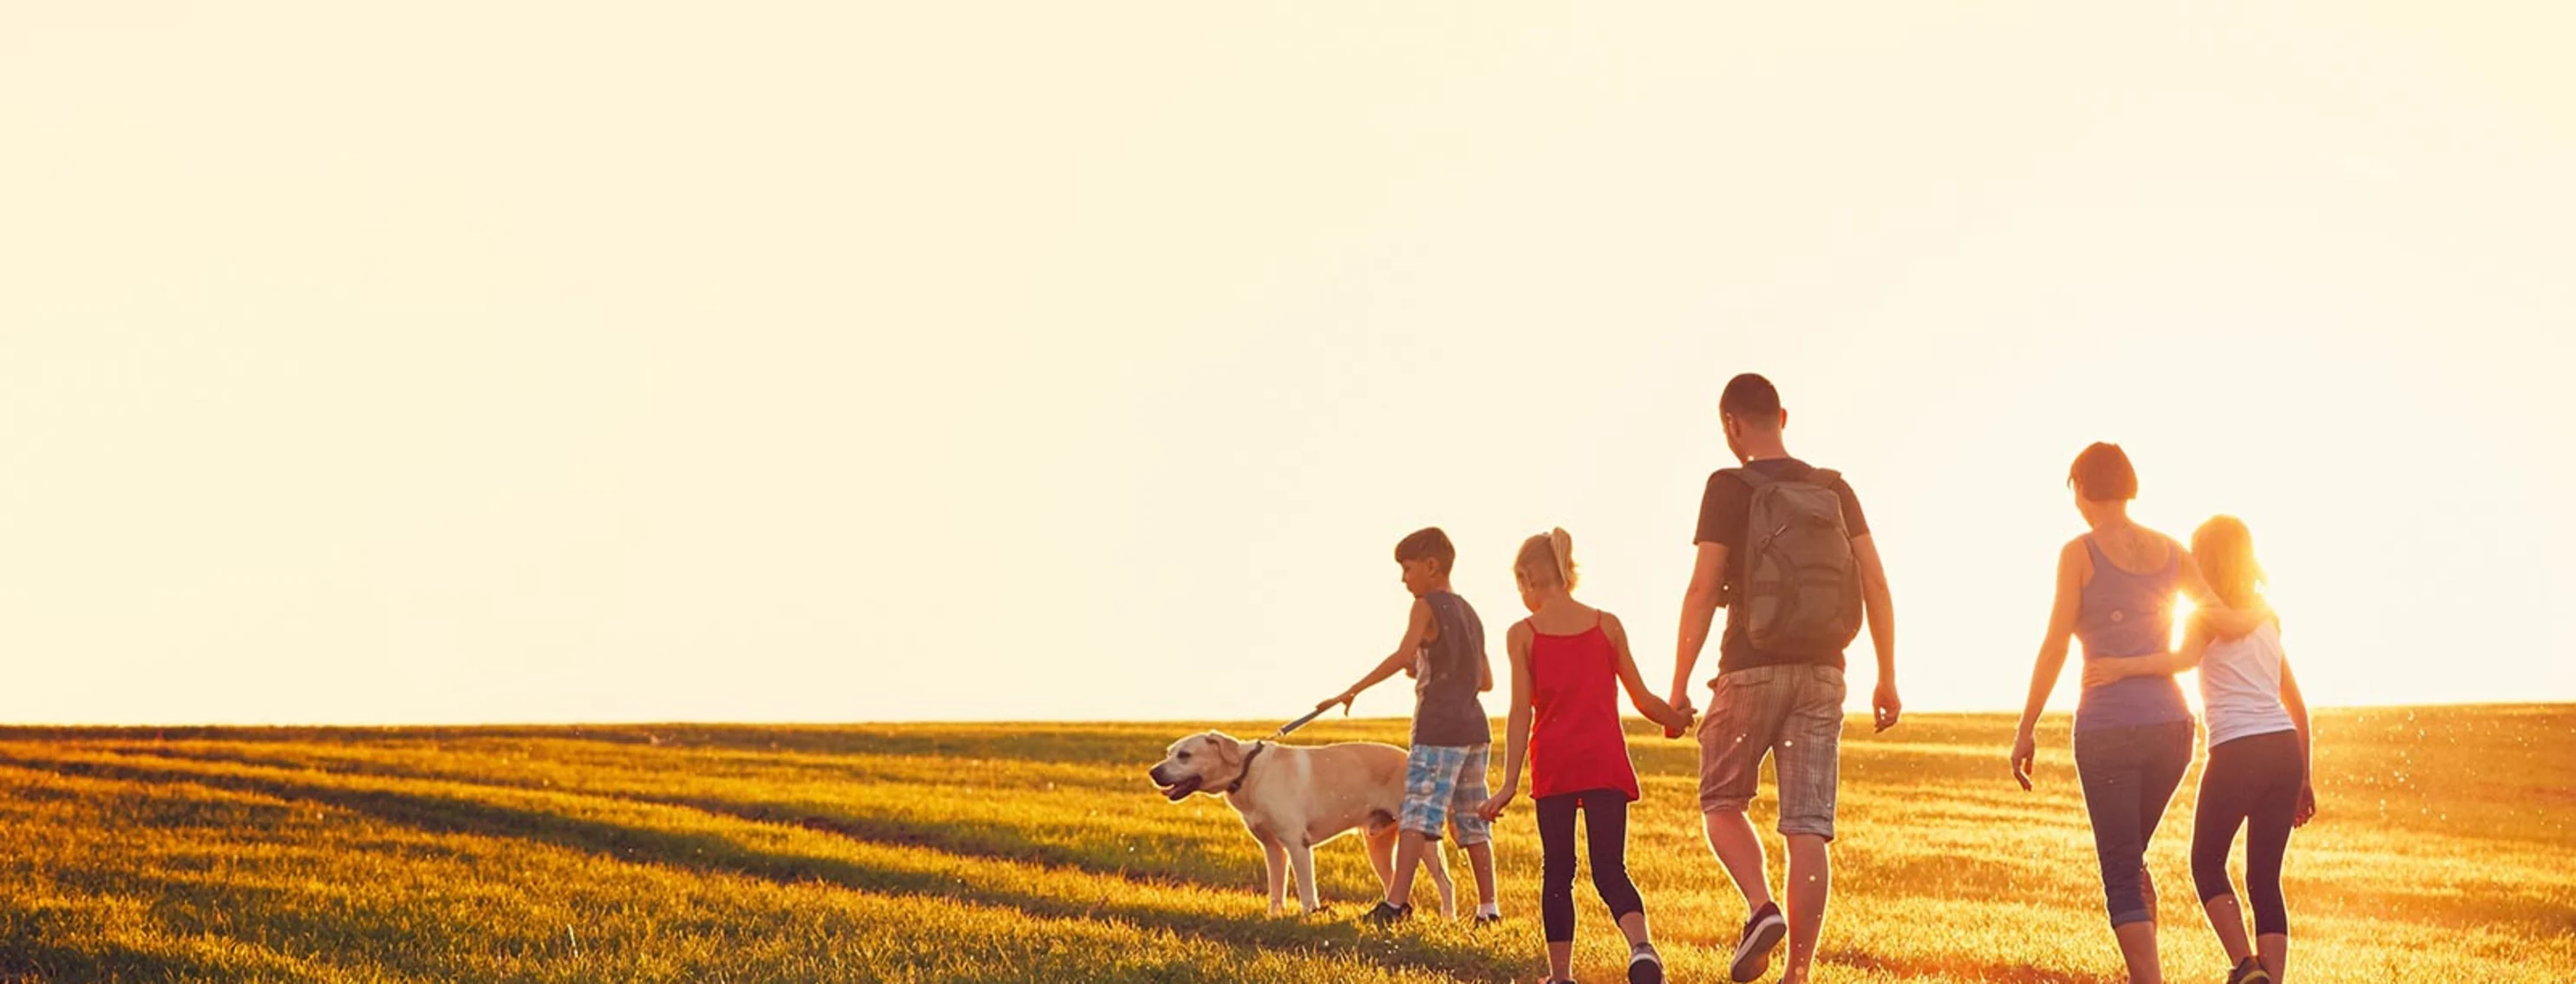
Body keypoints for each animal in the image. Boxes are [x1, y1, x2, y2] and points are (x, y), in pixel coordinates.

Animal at [1148, 731, 1453, 916]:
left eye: (1185, 755)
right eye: (1169, 753)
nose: (1153, 772)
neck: (1246, 772)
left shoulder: (1297, 844)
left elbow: (1306, 889)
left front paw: (1311, 915)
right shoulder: (1272, 848)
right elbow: (1276, 887)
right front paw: (1274, 916)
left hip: (1422, 838)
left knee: (1445, 882)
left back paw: (1448, 919)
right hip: (1377, 844)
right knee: (1394, 880)